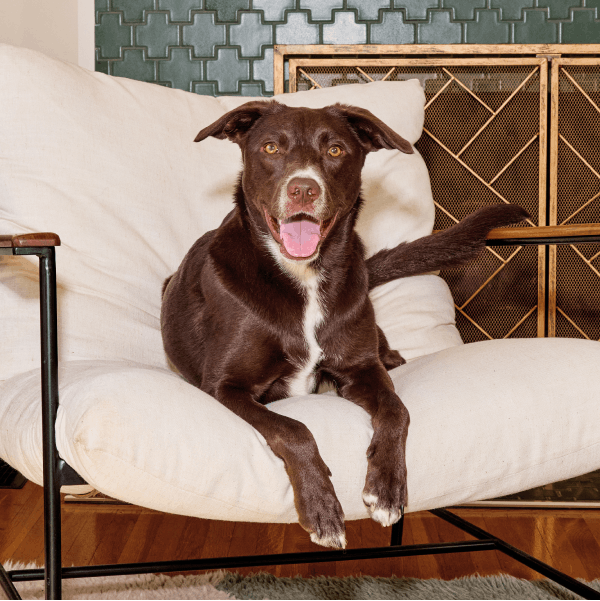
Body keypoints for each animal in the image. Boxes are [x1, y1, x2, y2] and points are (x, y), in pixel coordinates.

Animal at [161, 99, 528, 548]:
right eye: (270, 148)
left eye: (334, 150)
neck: (302, 278)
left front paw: (387, 489)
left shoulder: (359, 368)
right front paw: (321, 509)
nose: (304, 189)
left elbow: (397, 410)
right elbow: (294, 428)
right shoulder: (224, 386)